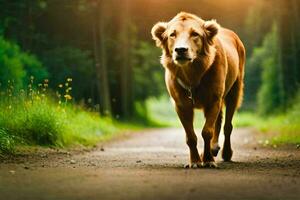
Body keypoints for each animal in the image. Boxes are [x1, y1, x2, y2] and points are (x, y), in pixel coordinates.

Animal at [151, 12, 245, 167]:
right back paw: (213, 148)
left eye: (195, 34)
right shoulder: (181, 104)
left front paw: (208, 160)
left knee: (227, 125)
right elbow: (190, 136)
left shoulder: (214, 99)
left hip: (234, 89)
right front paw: (195, 161)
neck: (192, 73)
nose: (181, 50)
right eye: (172, 34)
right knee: (219, 121)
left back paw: (226, 153)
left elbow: (207, 131)